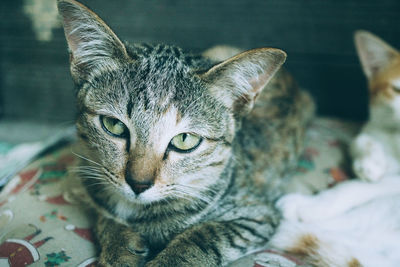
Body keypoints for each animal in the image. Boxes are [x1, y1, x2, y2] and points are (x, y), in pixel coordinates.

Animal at [58, 0, 316, 266]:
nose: (138, 184)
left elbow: (204, 236)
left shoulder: (257, 215)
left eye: (184, 140)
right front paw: (119, 249)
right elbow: (107, 218)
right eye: (113, 125)